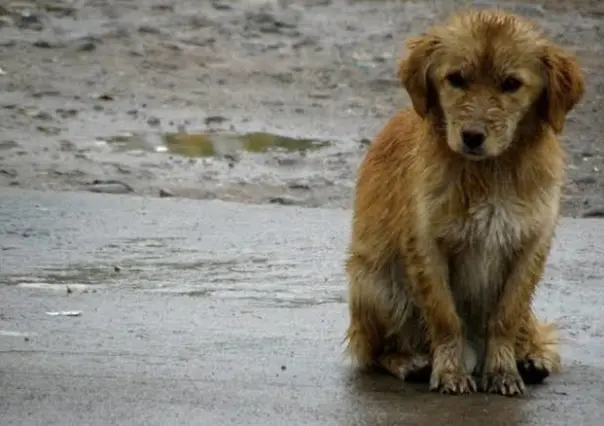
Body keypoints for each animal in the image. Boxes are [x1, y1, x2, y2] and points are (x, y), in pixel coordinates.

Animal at [344, 7, 584, 396]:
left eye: (511, 84)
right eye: (456, 78)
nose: (472, 136)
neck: (490, 172)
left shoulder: (530, 246)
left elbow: (505, 317)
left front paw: (502, 370)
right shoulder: (427, 245)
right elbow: (445, 317)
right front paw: (450, 371)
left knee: (531, 332)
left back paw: (530, 358)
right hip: (376, 284)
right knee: (376, 350)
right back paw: (409, 361)